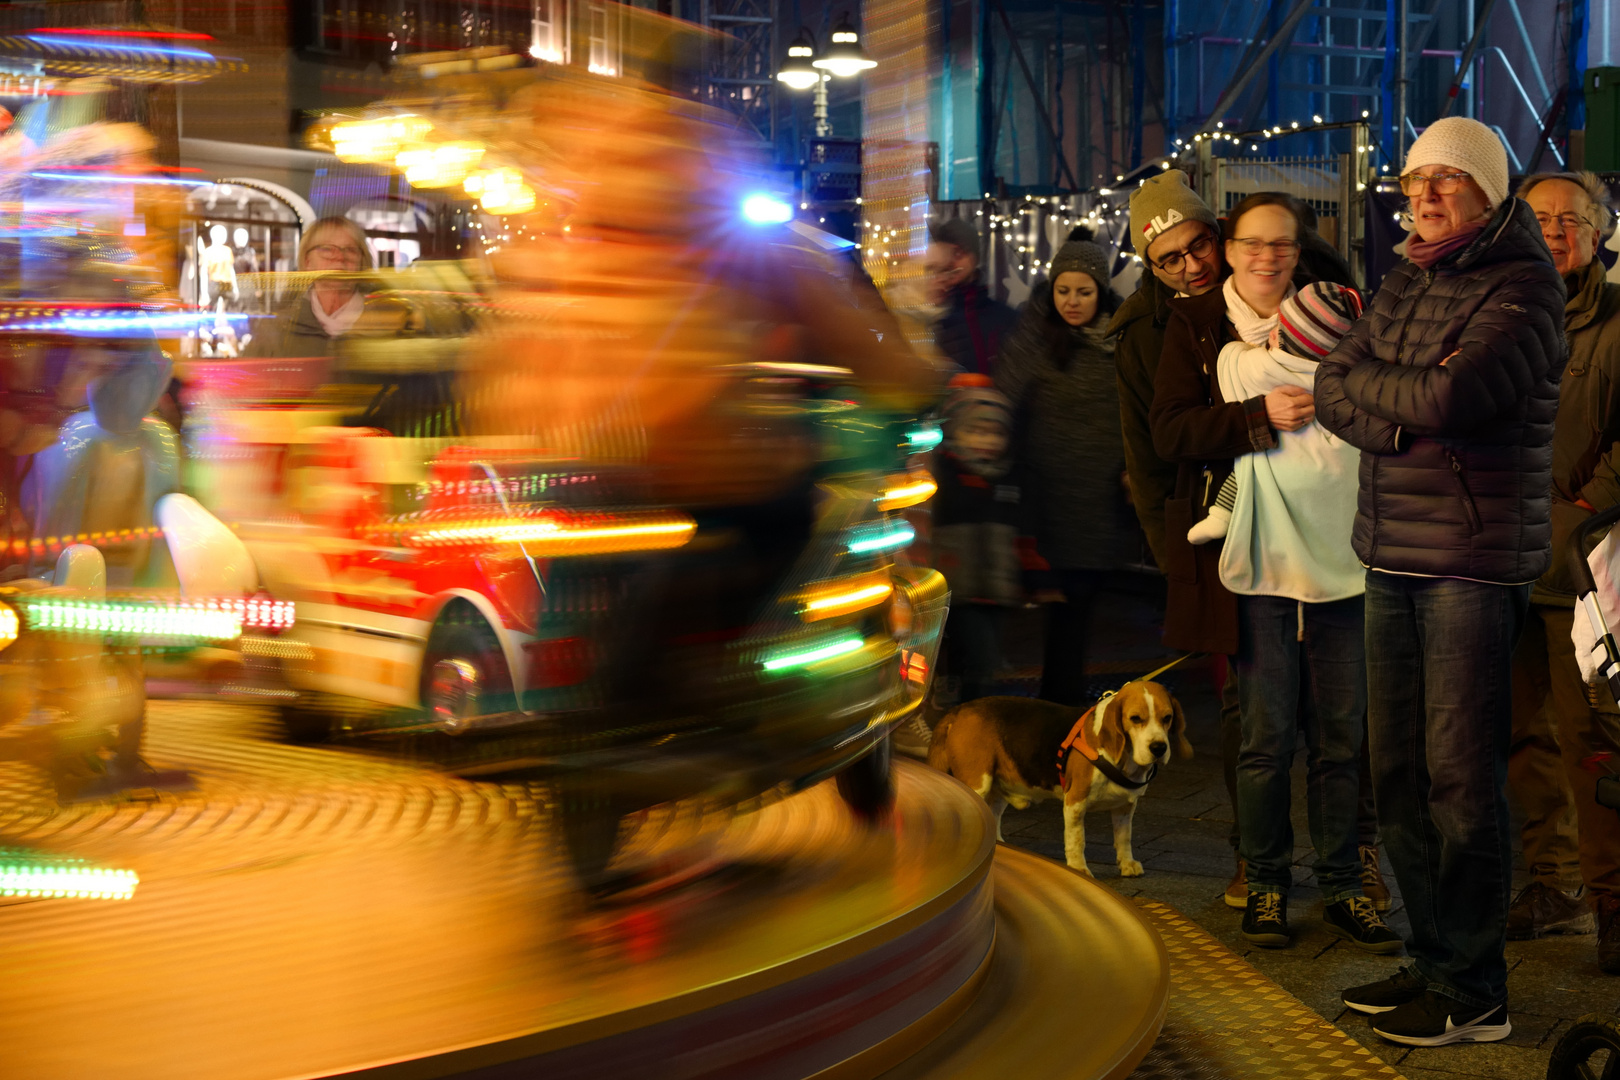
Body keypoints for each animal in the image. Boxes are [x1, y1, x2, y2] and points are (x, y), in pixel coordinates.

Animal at [926, 683, 1192, 880]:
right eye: (1135, 718)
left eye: (1167, 718)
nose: (1158, 748)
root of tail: (957, 711)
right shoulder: (1075, 802)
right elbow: (1077, 840)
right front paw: (1079, 870)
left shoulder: (1125, 807)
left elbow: (1123, 837)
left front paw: (1126, 864)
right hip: (977, 782)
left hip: (998, 784)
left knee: (993, 814)